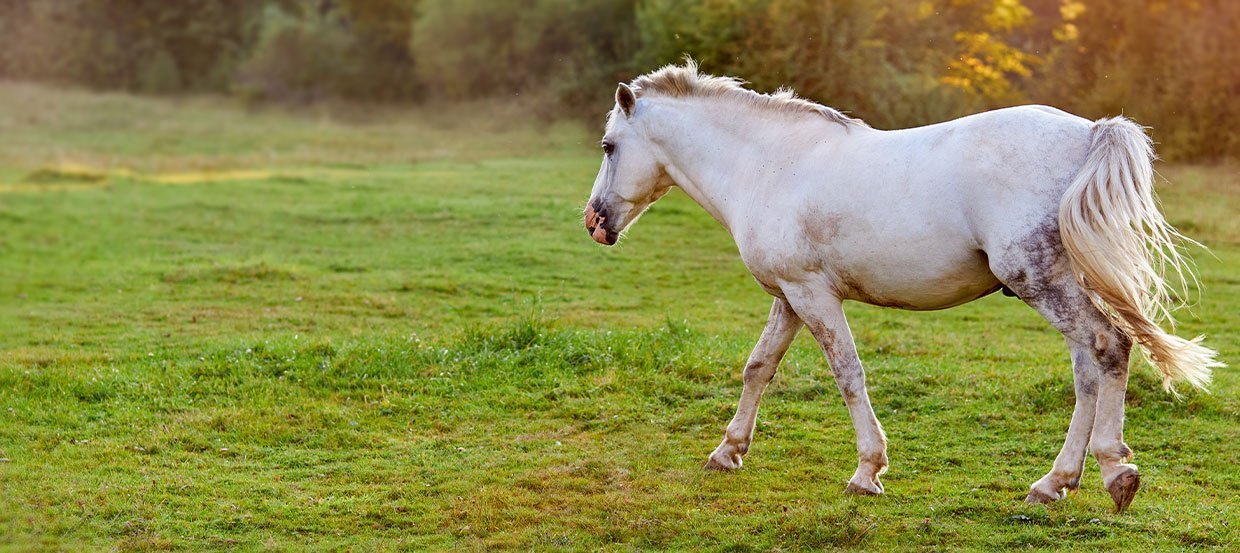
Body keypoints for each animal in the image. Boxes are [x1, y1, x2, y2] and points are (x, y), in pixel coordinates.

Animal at [582, 59, 1220, 510]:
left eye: (610, 147)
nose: (594, 221)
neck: (767, 165)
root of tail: (1090, 131)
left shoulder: (813, 296)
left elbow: (848, 374)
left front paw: (868, 471)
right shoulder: (789, 297)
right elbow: (758, 368)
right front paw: (728, 452)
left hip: (1038, 281)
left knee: (1109, 347)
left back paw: (1113, 471)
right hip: (1054, 286)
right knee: (1091, 365)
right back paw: (1058, 482)